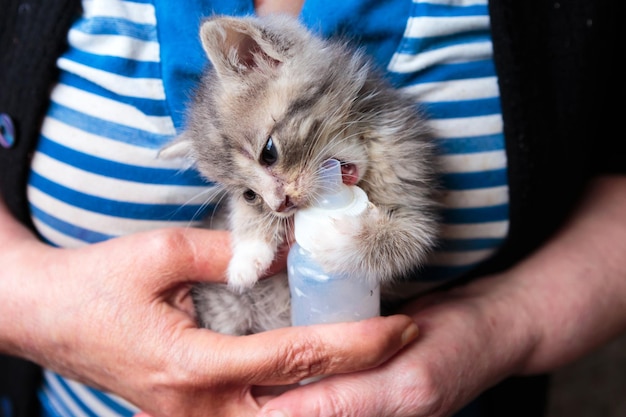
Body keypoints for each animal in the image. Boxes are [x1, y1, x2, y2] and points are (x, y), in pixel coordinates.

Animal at [158, 14, 436, 334]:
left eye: (269, 152)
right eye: (249, 195)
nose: (281, 205)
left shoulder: (410, 183)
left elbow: (406, 242)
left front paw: (344, 240)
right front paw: (248, 253)